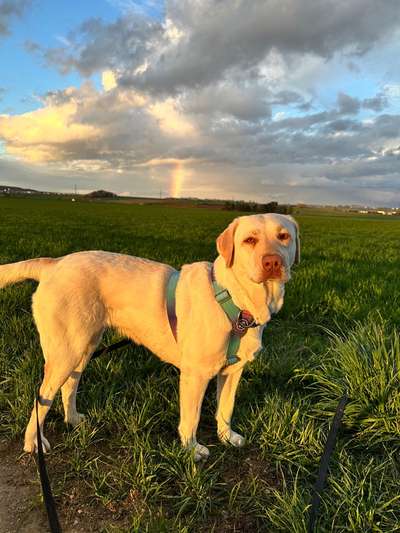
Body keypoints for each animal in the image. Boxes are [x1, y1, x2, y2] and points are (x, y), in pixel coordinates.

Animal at [0, 212, 298, 458]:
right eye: (249, 240)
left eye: (284, 236)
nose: (272, 262)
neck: (238, 302)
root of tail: (55, 263)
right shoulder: (195, 375)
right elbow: (191, 418)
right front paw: (192, 450)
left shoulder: (233, 371)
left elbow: (226, 409)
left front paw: (227, 438)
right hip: (66, 351)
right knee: (42, 398)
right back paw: (33, 443)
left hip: (84, 347)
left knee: (69, 386)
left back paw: (72, 420)